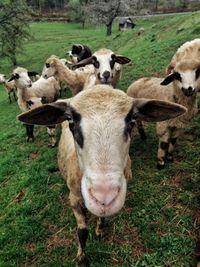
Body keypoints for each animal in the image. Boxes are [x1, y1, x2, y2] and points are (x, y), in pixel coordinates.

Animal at [17, 85, 186, 266]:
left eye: (132, 119)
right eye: (71, 120)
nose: (104, 197)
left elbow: (102, 217)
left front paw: (99, 231)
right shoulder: (74, 199)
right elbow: (82, 232)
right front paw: (81, 258)